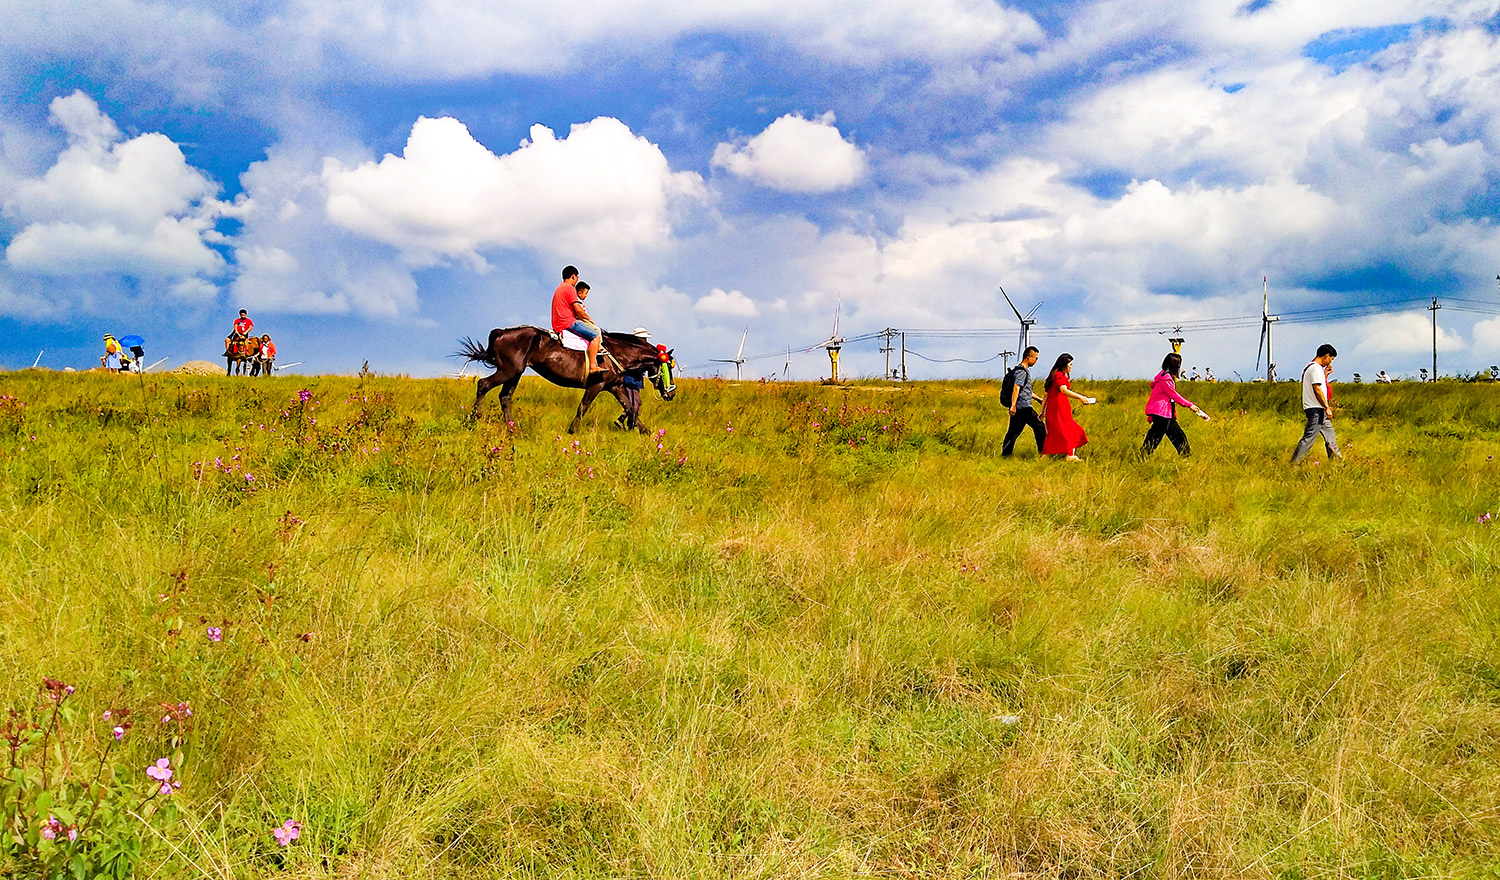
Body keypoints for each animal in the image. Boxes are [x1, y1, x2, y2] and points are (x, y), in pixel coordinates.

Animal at [450, 326, 675, 434]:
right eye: (667, 369)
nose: (671, 393)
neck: (618, 353)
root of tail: (503, 332)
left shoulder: (615, 386)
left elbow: (630, 408)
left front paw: (643, 430)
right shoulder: (597, 385)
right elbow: (583, 407)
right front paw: (572, 430)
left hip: (515, 374)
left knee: (505, 397)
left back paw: (511, 426)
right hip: (508, 370)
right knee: (483, 384)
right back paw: (475, 418)